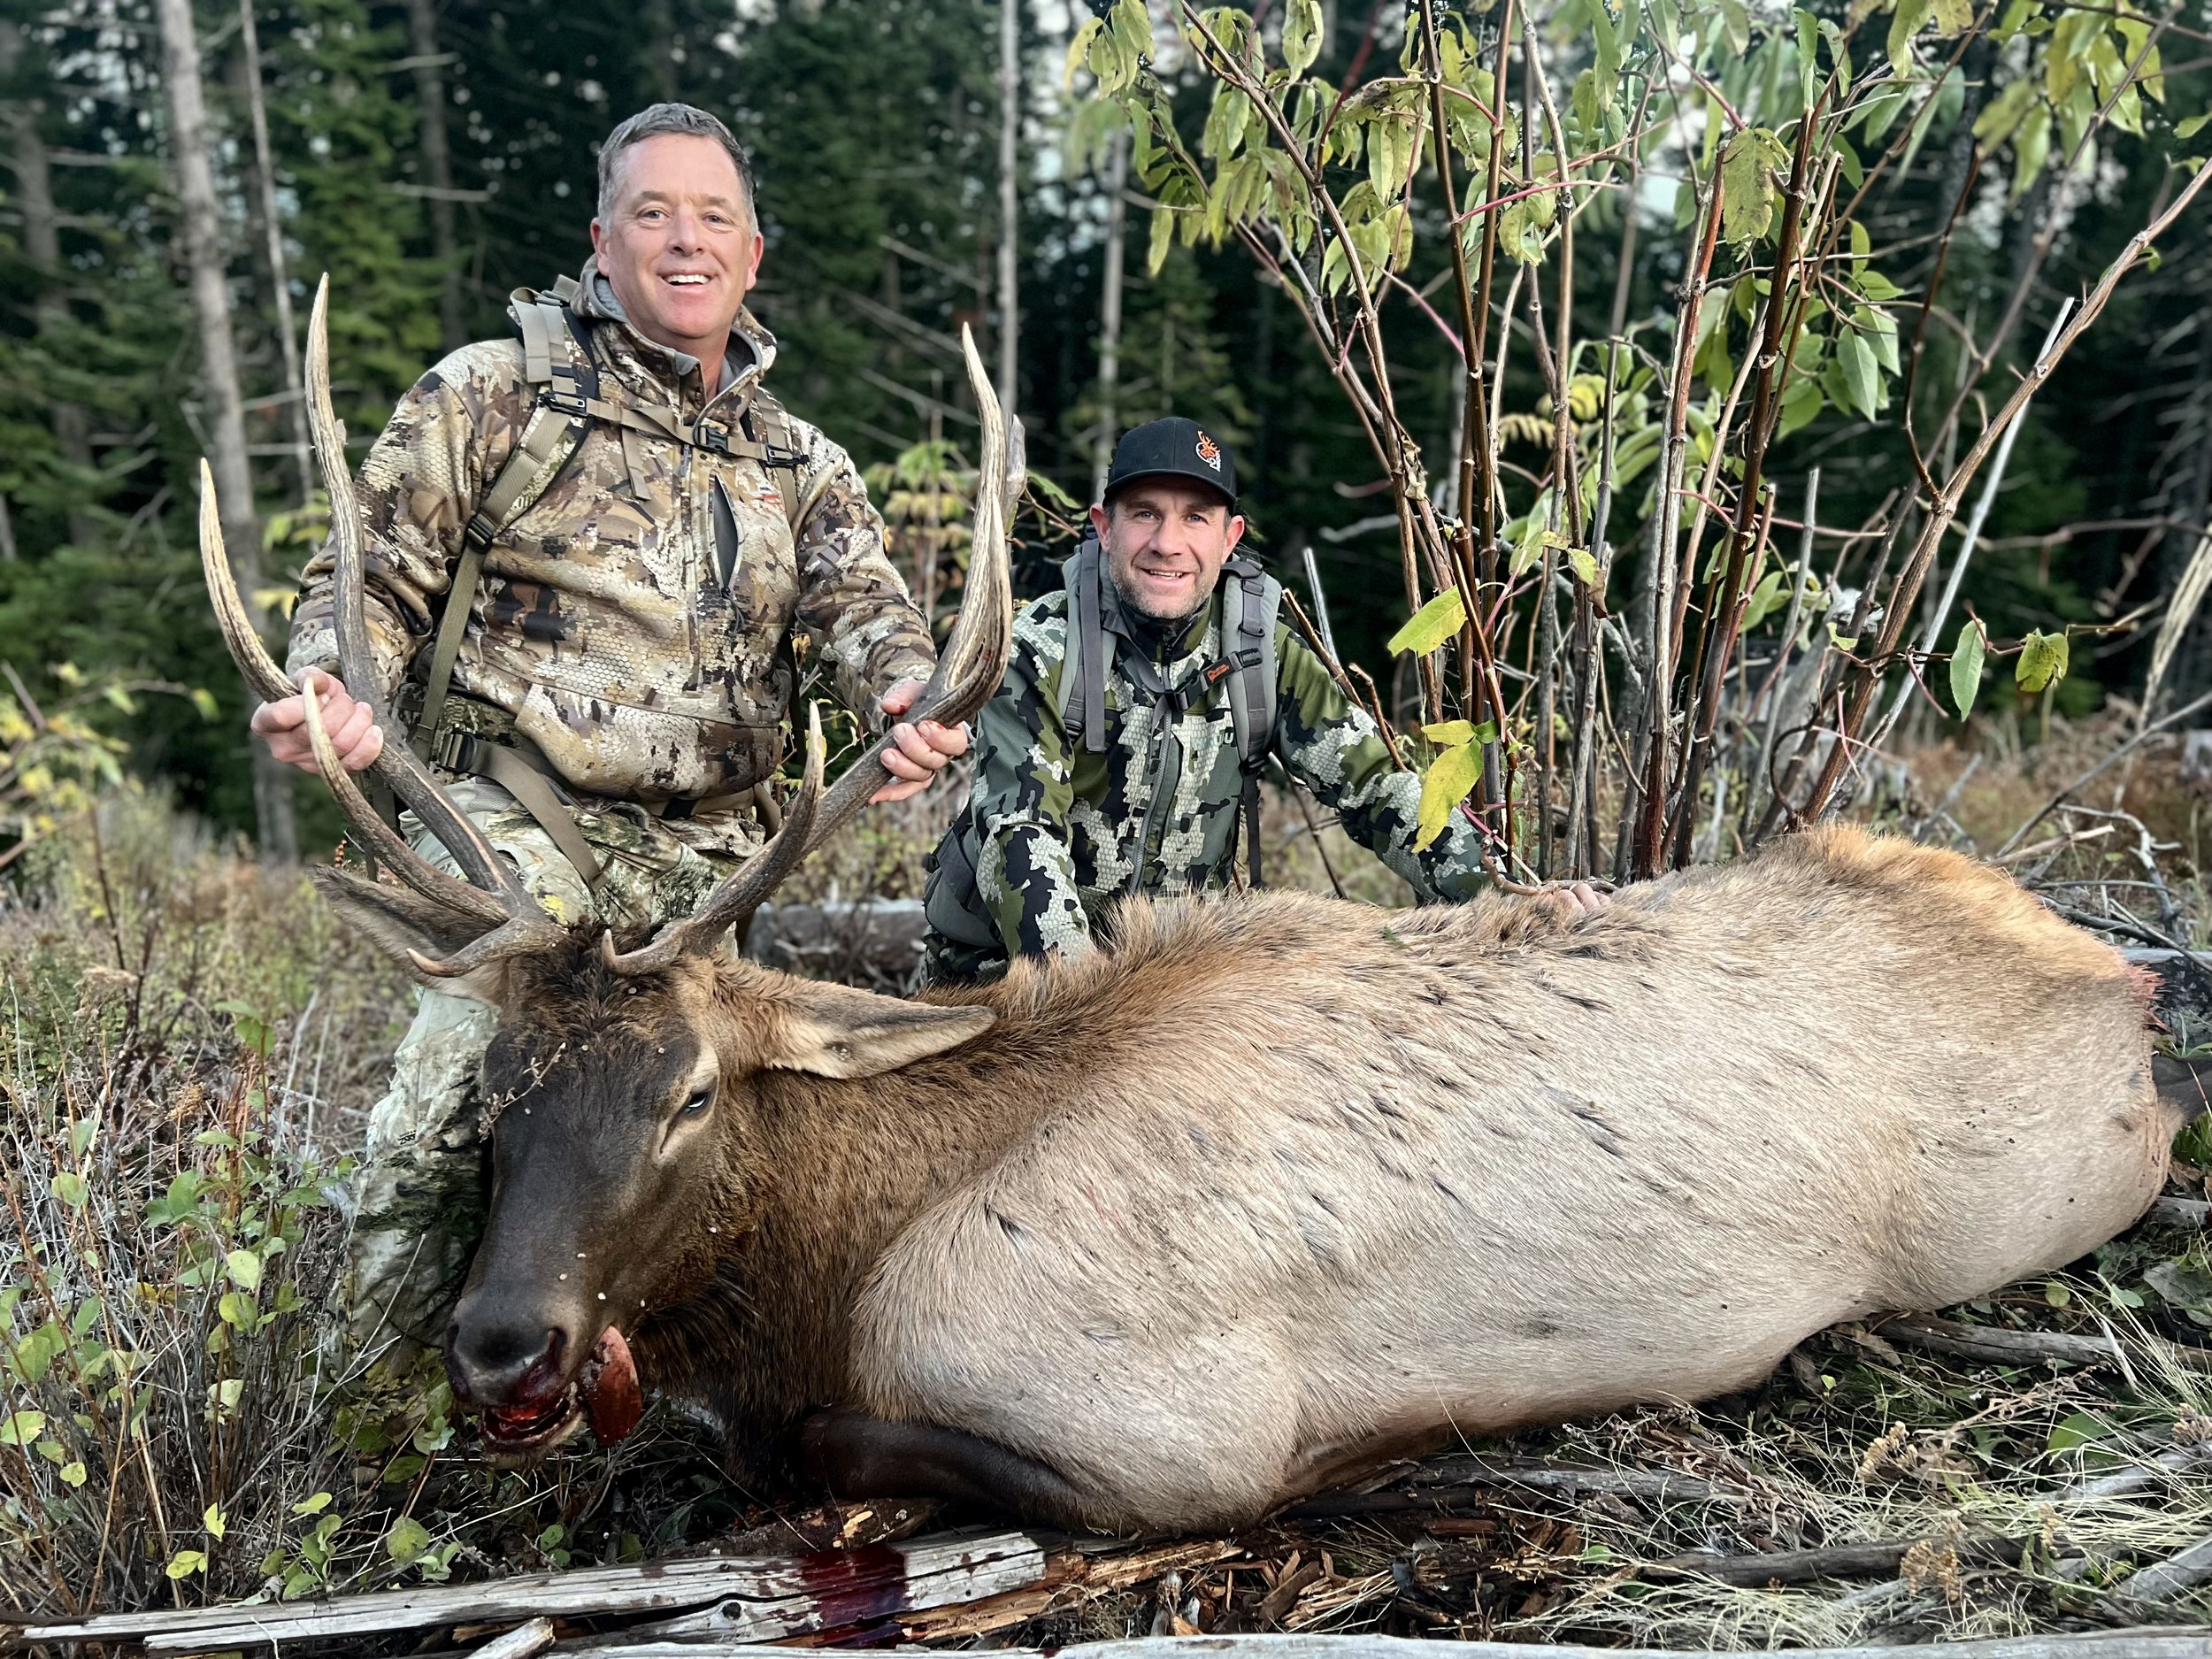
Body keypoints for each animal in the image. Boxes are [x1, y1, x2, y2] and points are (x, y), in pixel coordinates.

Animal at [197, 282, 2198, 1537]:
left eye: (692, 1089)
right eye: (490, 1084)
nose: (502, 1342)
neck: (850, 1253)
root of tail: (2103, 967)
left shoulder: (1167, 1432)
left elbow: (824, 1453)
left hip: (2049, 1194)